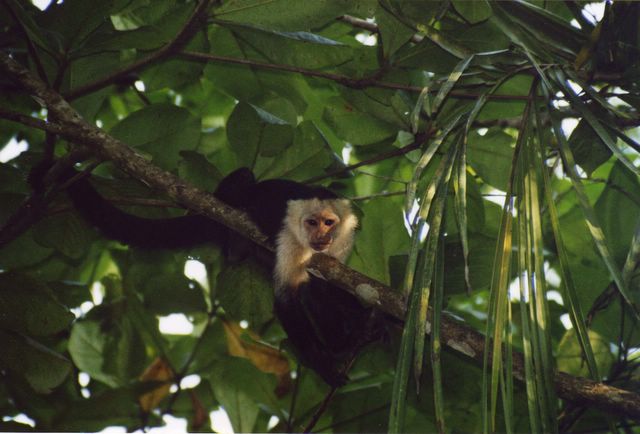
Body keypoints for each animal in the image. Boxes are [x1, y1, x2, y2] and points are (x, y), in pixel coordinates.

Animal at [61, 166, 376, 386]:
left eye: (329, 222)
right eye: (311, 222)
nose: (320, 236)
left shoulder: (343, 242)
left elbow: (332, 287)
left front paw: (363, 323)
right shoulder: (290, 237)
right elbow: (286, 297)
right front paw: (322, 364)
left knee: (313, 289)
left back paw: (342, 342)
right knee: (243, 179)